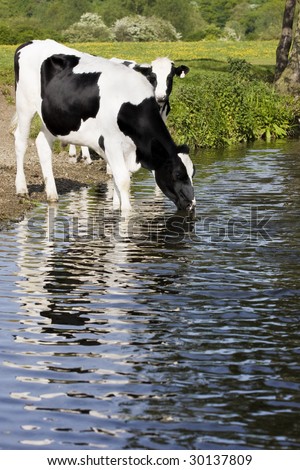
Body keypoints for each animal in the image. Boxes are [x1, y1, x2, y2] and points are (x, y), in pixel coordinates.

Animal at [14, 39, 196, 212]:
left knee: (42, 144)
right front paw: (126, 214)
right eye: (177, 174)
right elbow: (123, 180)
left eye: (193, 172)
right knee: (20, 142)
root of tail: (30, 43)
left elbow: (117, 179)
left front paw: (116, 208)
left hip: (53, 118)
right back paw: (21, 189)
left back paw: (52, 195)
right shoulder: (111, 142)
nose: (191, 204)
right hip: (24, 105)